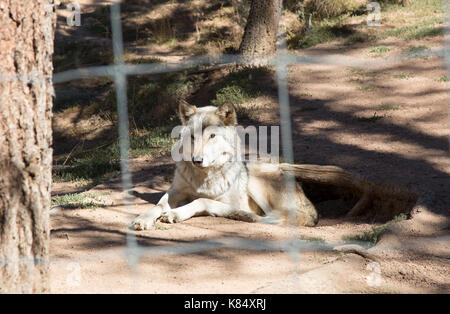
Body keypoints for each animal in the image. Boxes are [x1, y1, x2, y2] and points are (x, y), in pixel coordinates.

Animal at [132, 101, 318, 231]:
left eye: (212, 136)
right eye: (192, 137)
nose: (196, 160)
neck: (204, 179)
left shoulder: (230, 202)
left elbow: (201, 200)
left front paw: (175, 213)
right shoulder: (175, 192)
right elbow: (158, 205)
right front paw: (143, 219)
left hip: (255, 179)